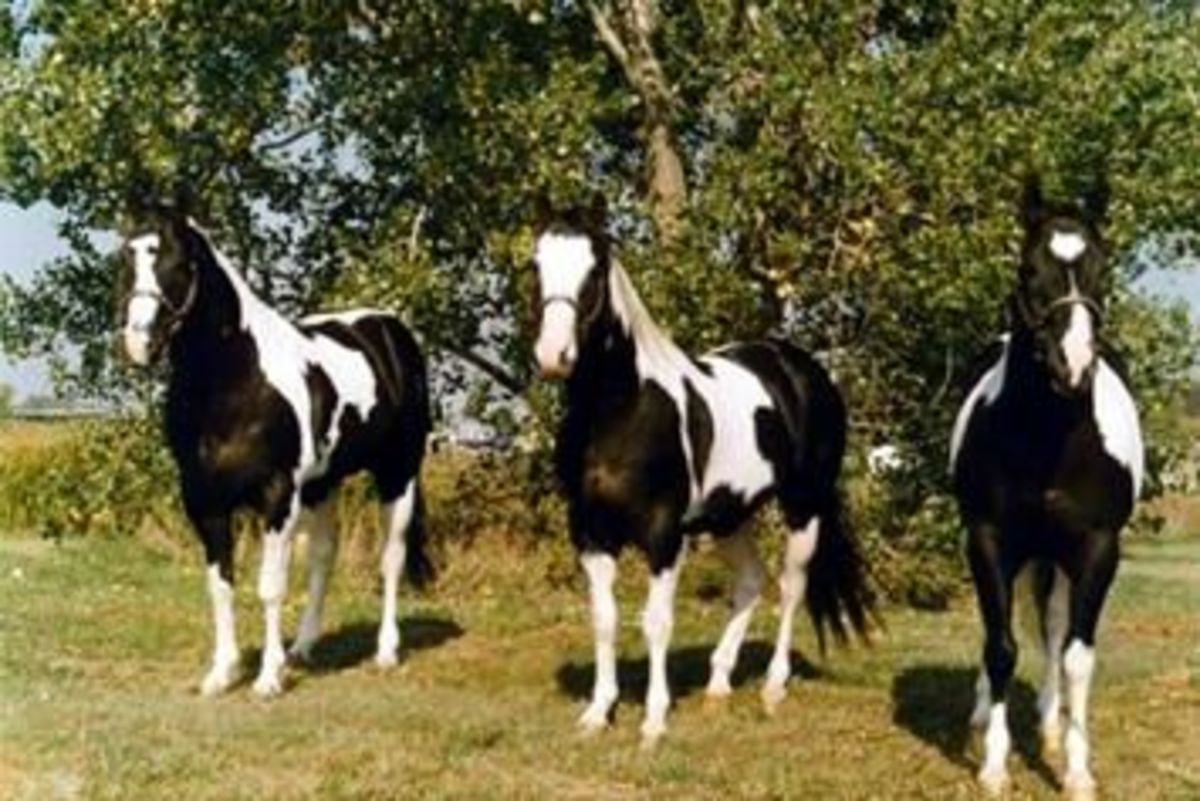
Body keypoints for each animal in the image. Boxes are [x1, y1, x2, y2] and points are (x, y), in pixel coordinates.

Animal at [118, 203, 432, 697]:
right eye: (126, 260)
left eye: (178, 264)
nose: (138, 340)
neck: (236, 382)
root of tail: (390, 330)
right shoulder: (204, 500)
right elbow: (221, 584)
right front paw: (222, 673)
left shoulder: (277, 496)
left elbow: (270, 587)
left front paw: (267, 677)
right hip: (323, 484)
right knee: (324, 555)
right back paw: (303, 647)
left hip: (397, 474)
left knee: (391, 558)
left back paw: (385, 652)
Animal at [531, 196, 873, 746]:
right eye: (536, 265)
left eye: (595, 269)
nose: (553, 356)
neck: (621, 412)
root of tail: (800, 367)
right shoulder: (590, 532)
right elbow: (604, 619)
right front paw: (597, 714)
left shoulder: (664, 535)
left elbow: (656, 622)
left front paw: (653, 722)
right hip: (728, 515)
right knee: (753, 581)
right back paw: (718, 685)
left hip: (804, 508)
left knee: (790, 586)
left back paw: (772, 688)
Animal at [949, 178, 1143, 799]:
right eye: (1027, 269)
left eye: (1103, 271)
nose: (1073, 368)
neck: (1049, 443)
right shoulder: (987, 539)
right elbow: (1000, 645)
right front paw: (992, 763)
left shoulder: (1097, 547)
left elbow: (1077, 655)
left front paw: (1077, 770)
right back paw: (983, 713)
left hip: (1057, 556)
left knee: (1056, 632)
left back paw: (1052, 728)